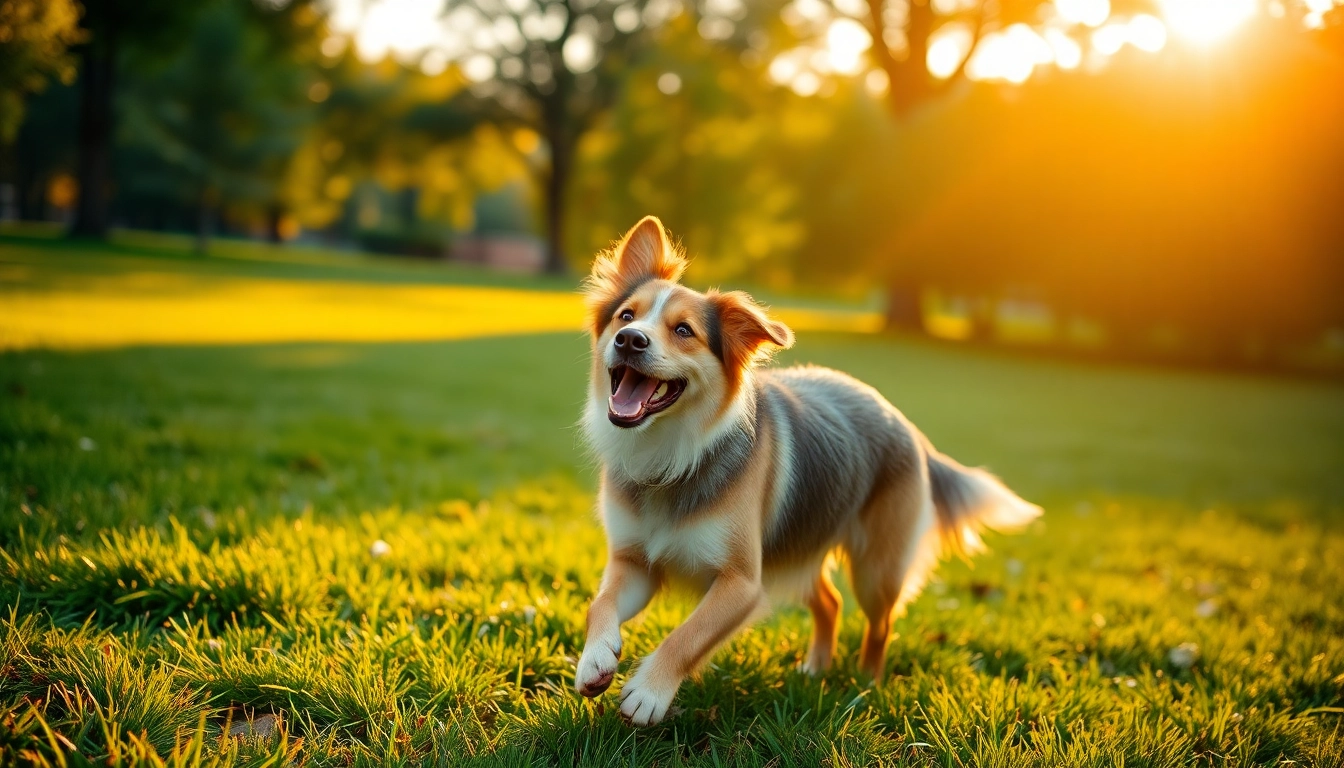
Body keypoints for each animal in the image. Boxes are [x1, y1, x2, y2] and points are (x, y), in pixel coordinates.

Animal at [572, 217, 1042, 726]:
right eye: (626, 316)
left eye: (683, 330)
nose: (630, 340)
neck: (673, 452)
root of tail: (908, 427)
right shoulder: (633, 562)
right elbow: (600, 603)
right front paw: (594, 659)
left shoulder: (743, 585)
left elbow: (688, 635)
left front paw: (649, 692)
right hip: (801, 548)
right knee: (831, 602)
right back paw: (815, 669)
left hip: (876, 570)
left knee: (881, 623)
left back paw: (865, 683)